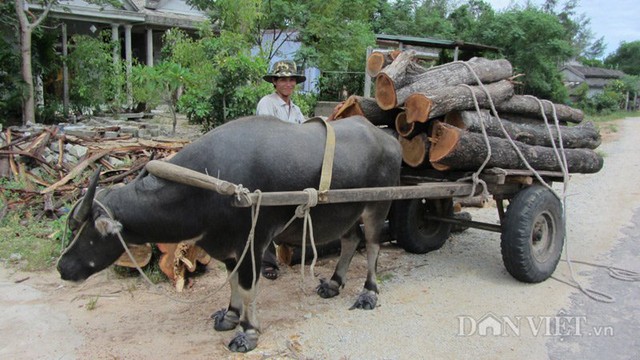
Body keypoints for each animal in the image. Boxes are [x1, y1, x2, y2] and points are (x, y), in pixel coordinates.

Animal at [57, 115, 402, 352]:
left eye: (89, 233)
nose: (62, 268)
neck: (207, 187)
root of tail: (389, 139)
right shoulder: (228, 245)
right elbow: (233, 281)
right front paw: (231, 315)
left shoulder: (254, 241)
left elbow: (248, 287)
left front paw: (248, 332)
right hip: (349, 211)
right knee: (351, 241)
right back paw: (333, 283)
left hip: (378, 205)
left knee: (372, 246)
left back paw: (368, 292)